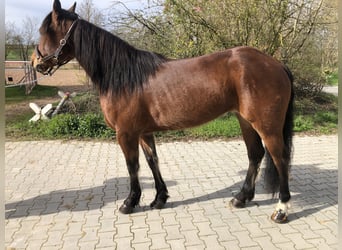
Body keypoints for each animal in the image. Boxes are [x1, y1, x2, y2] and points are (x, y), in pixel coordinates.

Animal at [32, 0, 294, 223]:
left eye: (43, 31)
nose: (36, 63)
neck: (125, 77)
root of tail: (276, 64)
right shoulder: (143, 132)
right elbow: (152, 162)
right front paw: (159, 198)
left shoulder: (125, 133)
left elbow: (133, 166)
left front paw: (129, 202)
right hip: (245, 121)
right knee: (255, 155)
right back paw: (241, 198)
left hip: (266, 125)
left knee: (280, 158)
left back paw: (281, 210)